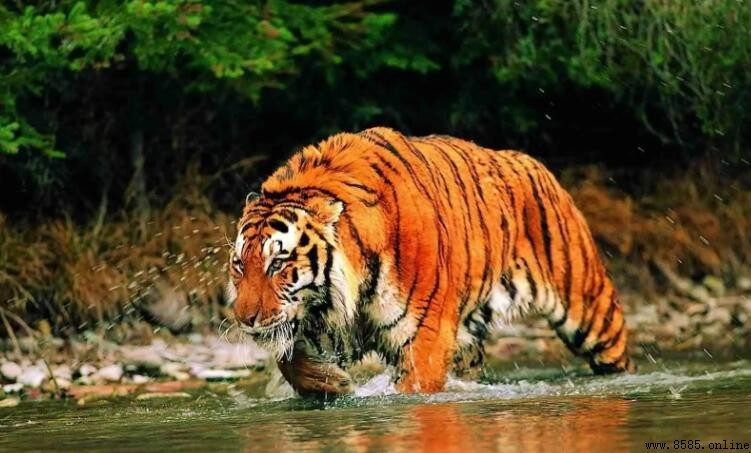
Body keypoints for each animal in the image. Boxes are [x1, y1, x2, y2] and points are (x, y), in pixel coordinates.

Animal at [227, 127, 634, 396]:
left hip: (591, 312)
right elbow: (288, 359)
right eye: (239, 266)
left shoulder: (424, 337)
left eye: (277, 264)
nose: (244, 319)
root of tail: (532, 162)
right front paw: (332, 383)